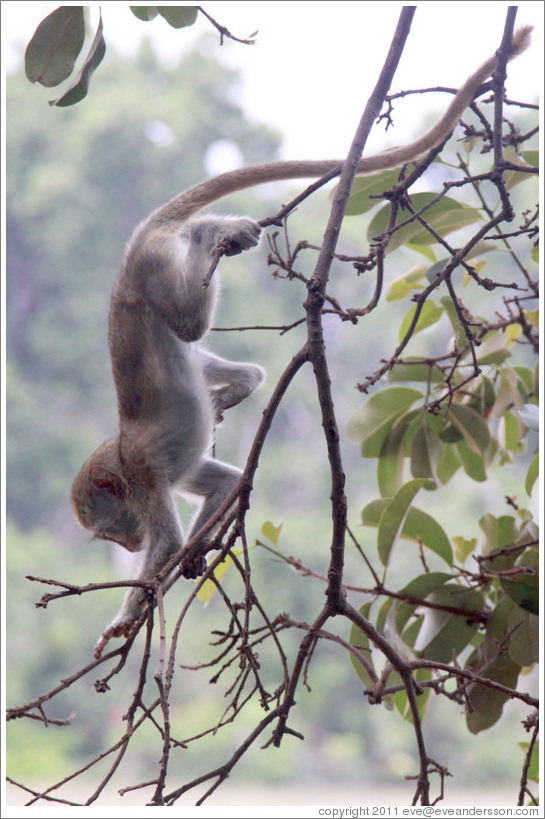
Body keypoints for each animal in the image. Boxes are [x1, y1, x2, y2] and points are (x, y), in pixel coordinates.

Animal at [70, 24, 528, 660]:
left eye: (112, 527)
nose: (125, 545)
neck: (118, 454)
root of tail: (129, 261)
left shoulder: (142, 478)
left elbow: (165, 543)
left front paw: (131, 610)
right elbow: (224, 488)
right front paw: (196, 557)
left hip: (153, 274)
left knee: (187, 321)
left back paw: (209, 233)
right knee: (193, 348)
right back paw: (240, 384)